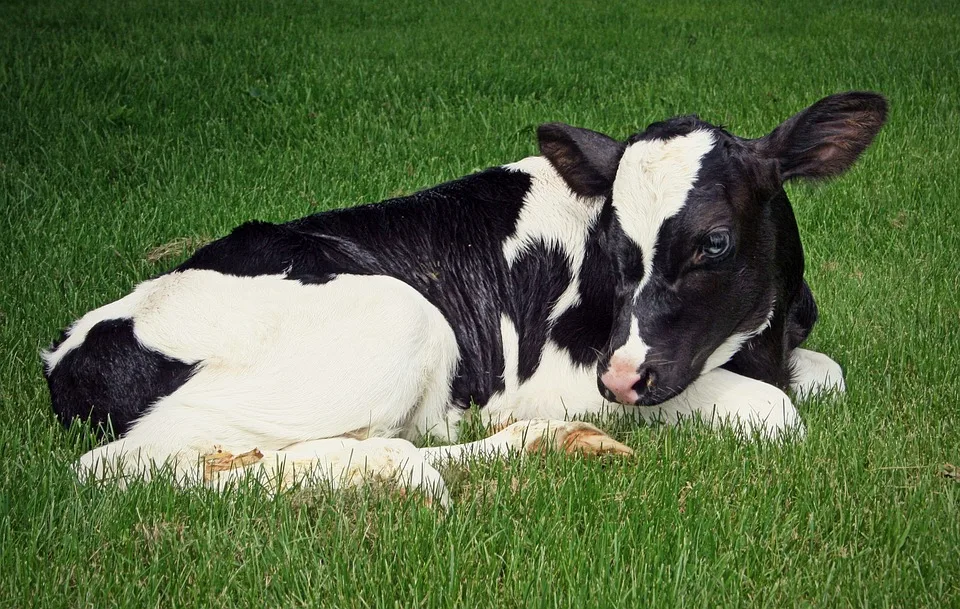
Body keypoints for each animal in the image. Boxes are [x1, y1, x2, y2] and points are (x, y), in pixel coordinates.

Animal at [43, 92, 884, 504]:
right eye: (612, 239)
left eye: (713, 240)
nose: (621, 380)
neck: (759, 338)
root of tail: (69, 348)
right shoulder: (568, 373)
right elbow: (776, 412)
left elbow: (827, 376)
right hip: (401, 319)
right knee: (118, 466)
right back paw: (397, 472)